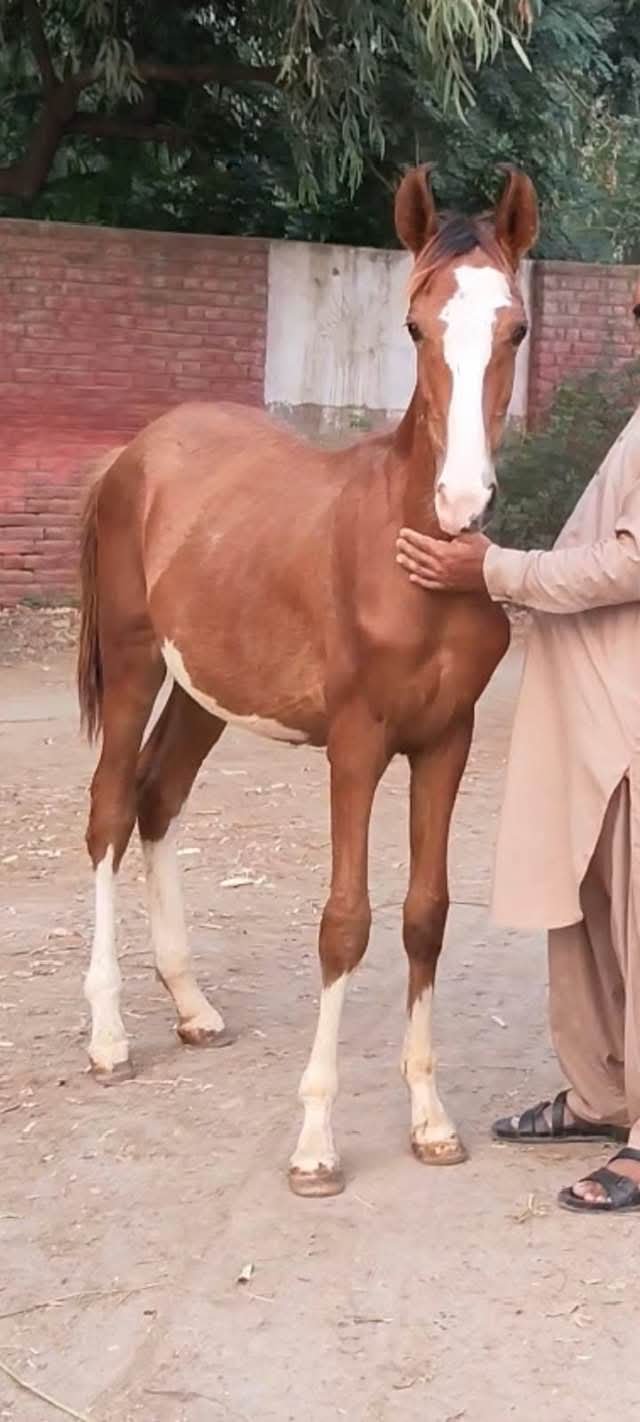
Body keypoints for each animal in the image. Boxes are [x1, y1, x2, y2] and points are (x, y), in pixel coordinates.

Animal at [77, 164, 538, 1197]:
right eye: (415, 327)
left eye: (517, 328)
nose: (463, 501)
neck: (413, 562)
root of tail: (137, 452)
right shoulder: (358, 747)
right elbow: (344, 923)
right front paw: (317, 1143)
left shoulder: (447, 741)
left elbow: (424, 916)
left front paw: (432, 1121)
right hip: (133, 664)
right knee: (111, 812)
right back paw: (109, 1036)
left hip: (203, 692)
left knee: (159, 798)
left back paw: (193, 1007)